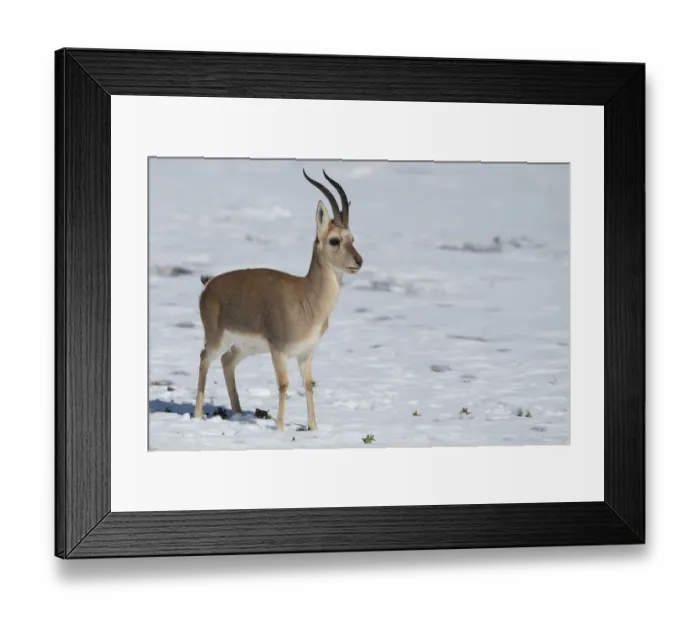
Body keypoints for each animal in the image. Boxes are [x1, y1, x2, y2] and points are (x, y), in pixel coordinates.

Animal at [193, 169, 363, 431]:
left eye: (352, 238)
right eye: (334, 240)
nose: (359, 261)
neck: (307, 298)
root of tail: (209, 284)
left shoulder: (305, 353)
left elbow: (308, 386)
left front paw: (313, 428)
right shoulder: (279, 350)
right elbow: (284, 385)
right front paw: (280, 429)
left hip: (244, 346)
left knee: (227, 361)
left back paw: (238, 413)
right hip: (217, 339)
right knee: (204, 358)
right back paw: (198, 415)